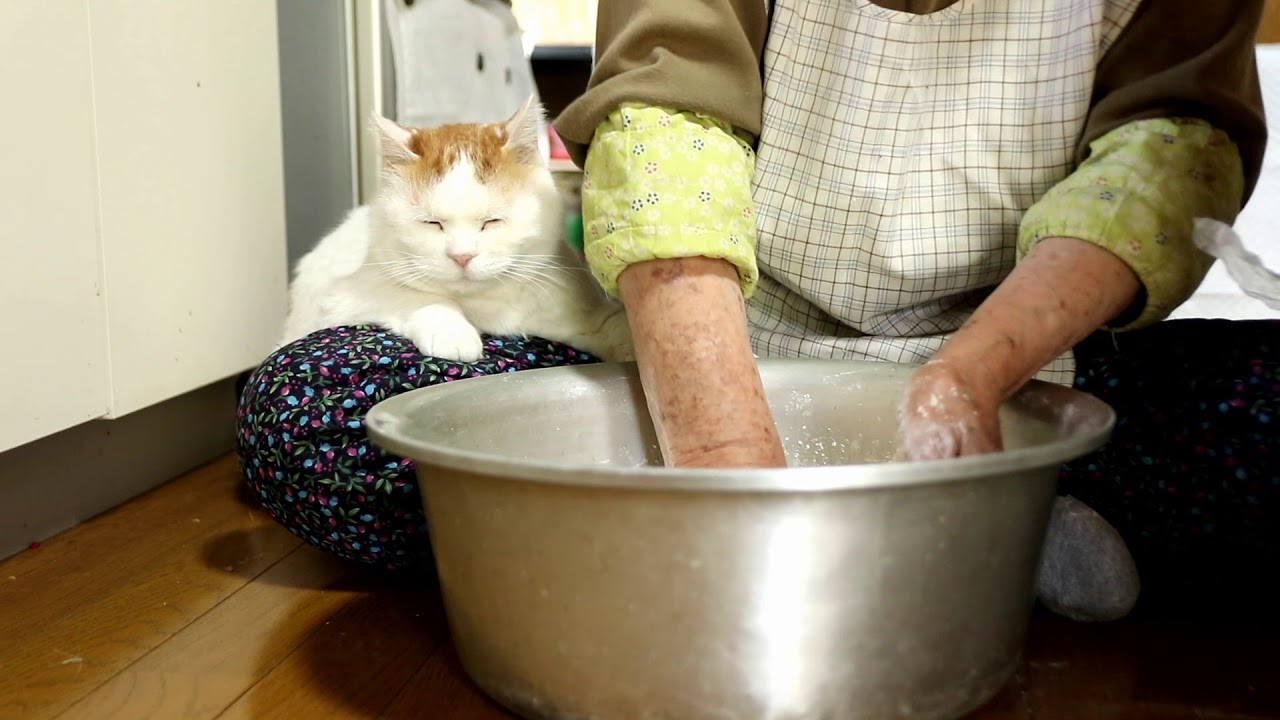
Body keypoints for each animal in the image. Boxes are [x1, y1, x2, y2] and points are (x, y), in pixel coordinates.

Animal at [284, 97, 634, 361]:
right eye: (433, 223)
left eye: (491, 221)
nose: (462, 256)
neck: (485, 308)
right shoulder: (343, 297)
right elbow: (414, 295)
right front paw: (451, 330)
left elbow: (607, 324)